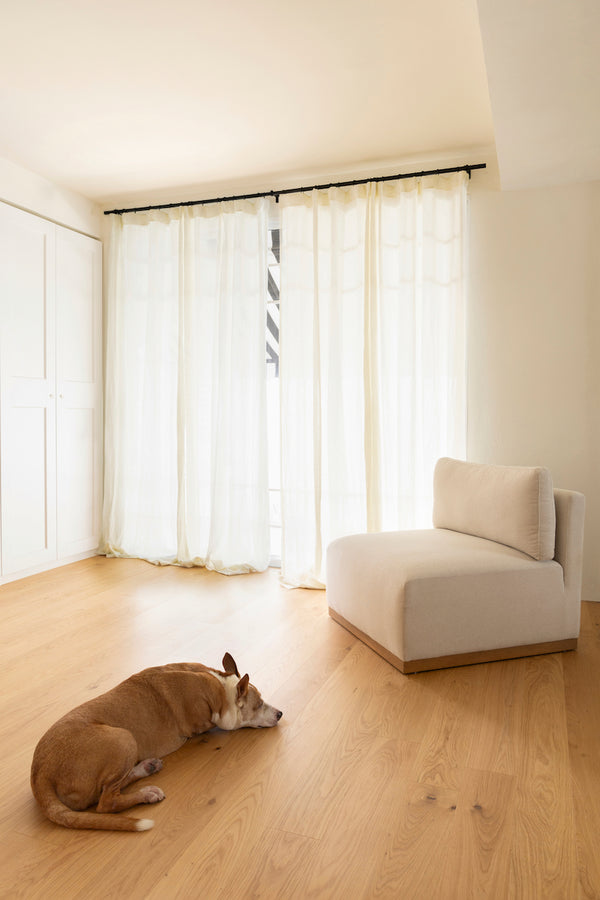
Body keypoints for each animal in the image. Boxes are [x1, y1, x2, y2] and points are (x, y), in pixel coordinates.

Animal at [29, 652, 280, 832]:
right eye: (258, 705)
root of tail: (40, 775)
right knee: (106, 802)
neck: (218, 687)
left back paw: (146, 768)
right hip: (123, 738)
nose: (280, 714)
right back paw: (146, 794)